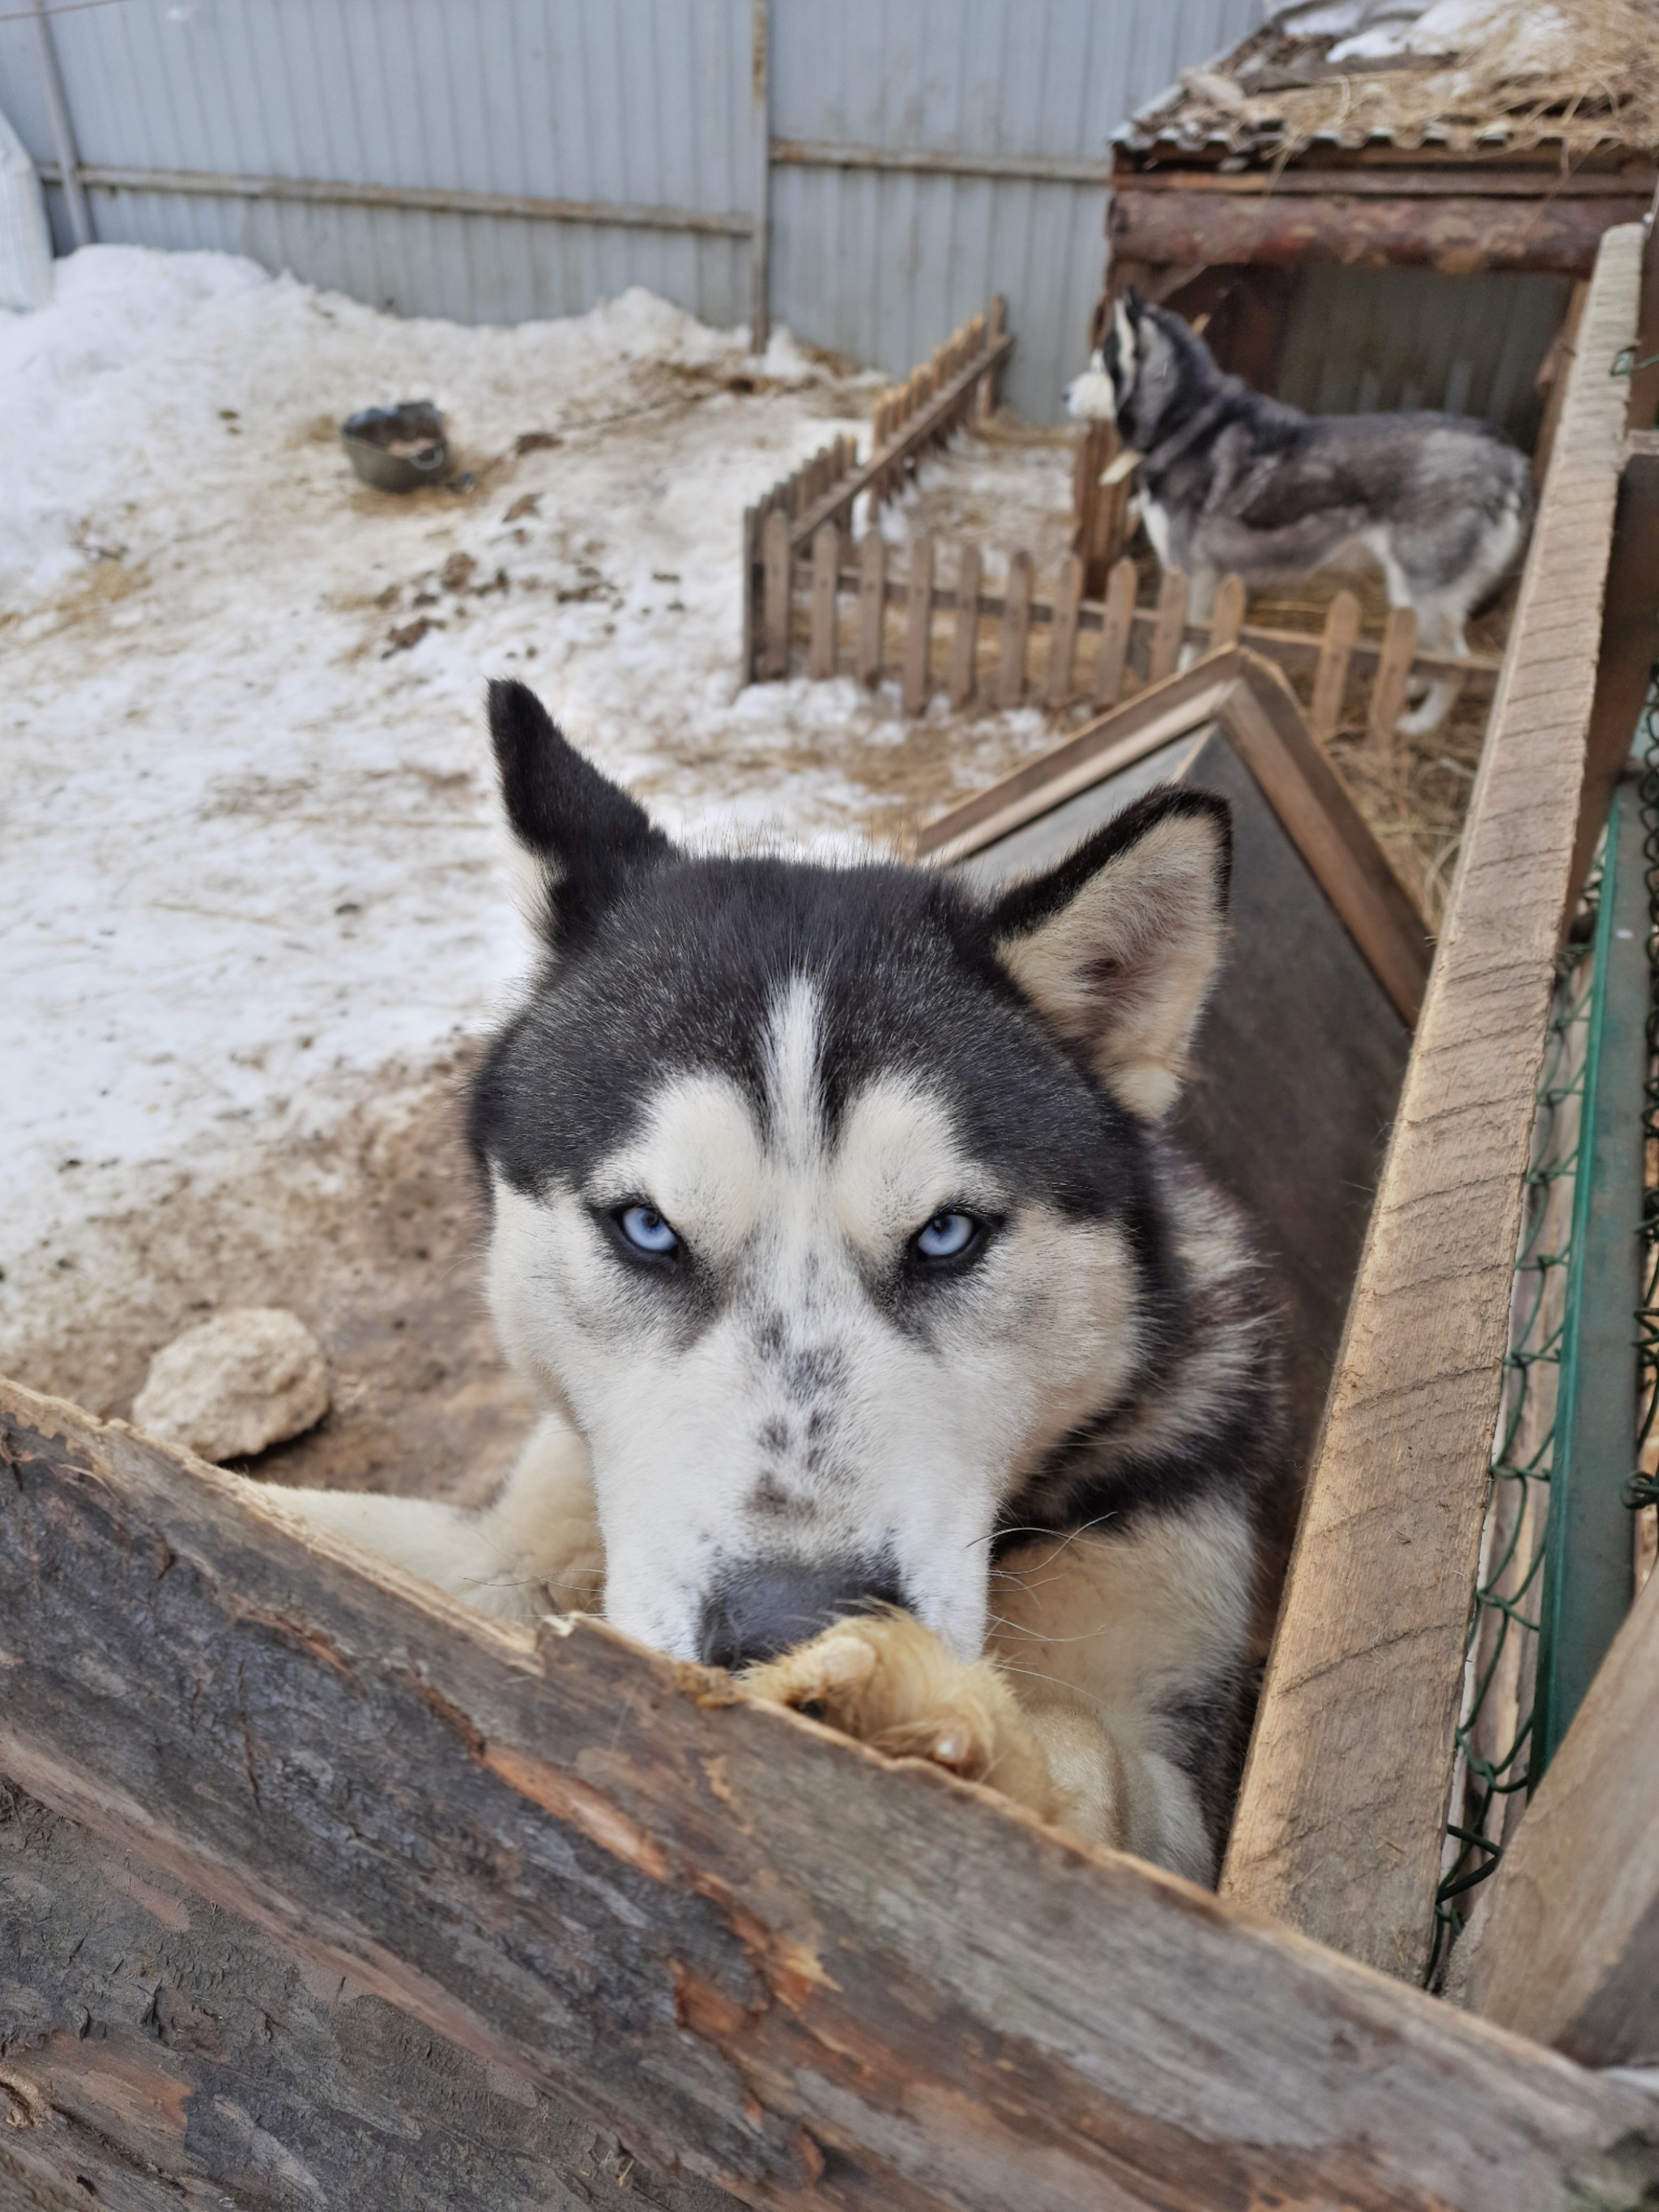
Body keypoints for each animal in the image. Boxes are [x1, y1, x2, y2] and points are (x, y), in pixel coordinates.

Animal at [270, 681, 1282, 1875]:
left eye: (946, 1234)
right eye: (648, 1228)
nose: (786, 1627)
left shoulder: (1175, 1716)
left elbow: (1090, 1747)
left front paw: (938, 1715)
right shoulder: (516, 1546)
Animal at [1070, 280, 1539, 734]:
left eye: (1097, 368)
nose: (1062, 394)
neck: (1184, 422)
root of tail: (1510, 456)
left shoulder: (1193, 575)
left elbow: (1189, 643)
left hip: (1423, 589)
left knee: (1457, 661)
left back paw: (1420, 724)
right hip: (1414, 597)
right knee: (1422, 650)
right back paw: (1410, 688)